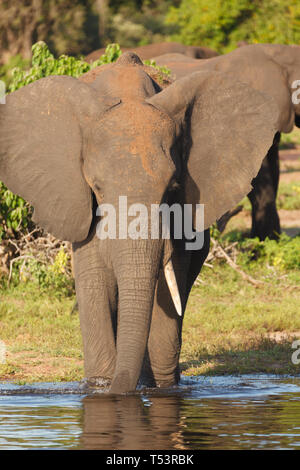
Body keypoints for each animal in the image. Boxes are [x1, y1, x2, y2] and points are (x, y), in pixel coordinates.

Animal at [0, 51, 278, 392]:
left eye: (172, 186)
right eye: (96, 187)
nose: (120, 389)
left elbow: (170, 280)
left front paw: (159, 388)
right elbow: (94, 276)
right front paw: (102, 386)